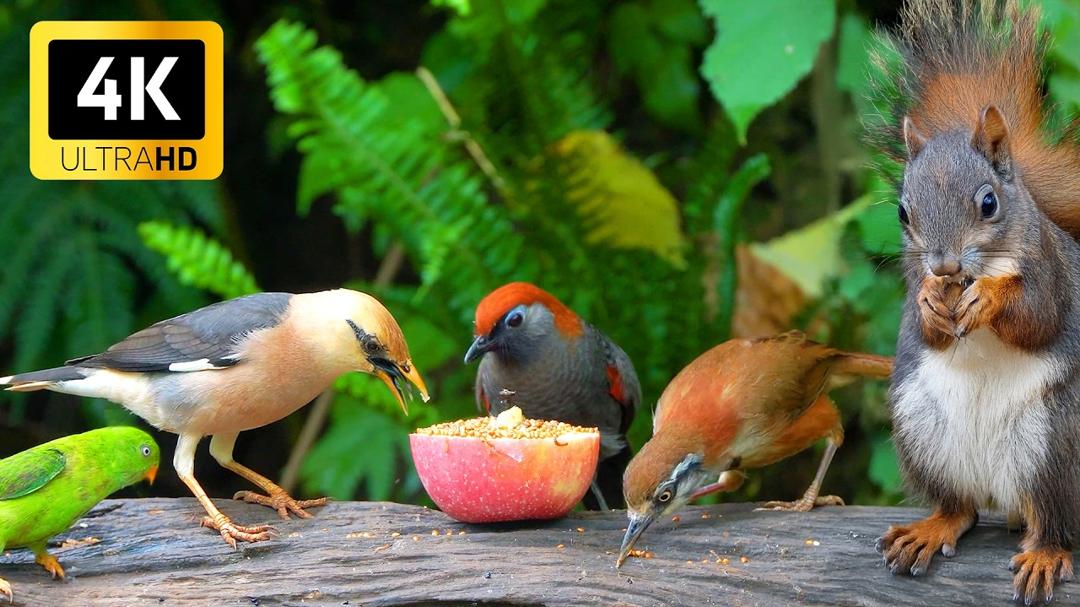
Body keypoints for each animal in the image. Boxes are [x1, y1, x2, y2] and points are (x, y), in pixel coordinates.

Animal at [872, 0, 1080, 604]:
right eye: (903, 212)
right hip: (922, 429)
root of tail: (1003, 494)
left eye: (989, 203)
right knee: (959, 507)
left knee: (1056, 520)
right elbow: (927, 328)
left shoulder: (1051, 273)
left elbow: (1037, 316)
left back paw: (1045, 552)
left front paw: (989, 298)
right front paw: (929, 301)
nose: (943, 268)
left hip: (1056, 441)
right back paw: (932, 527)